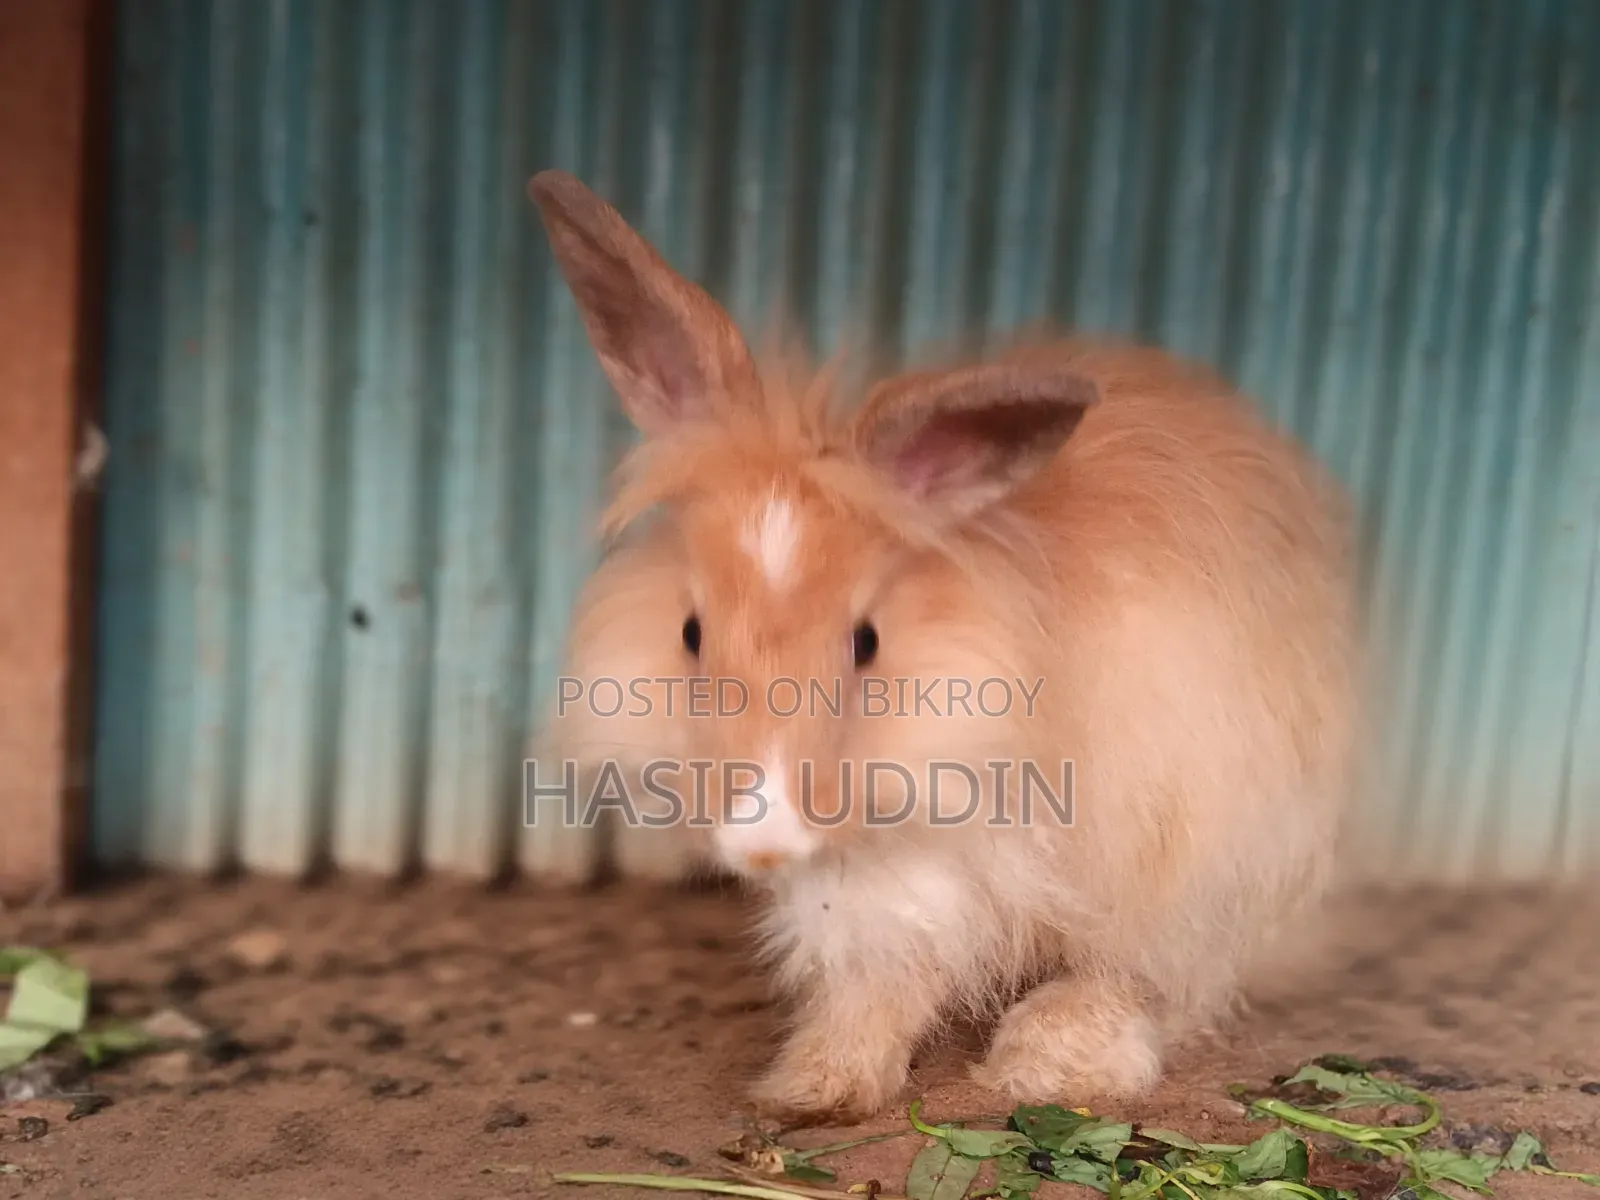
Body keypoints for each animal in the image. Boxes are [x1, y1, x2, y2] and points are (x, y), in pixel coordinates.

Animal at [524, 168, 1362, 1124]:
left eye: (867, 641)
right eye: (691, 631)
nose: (763, 841)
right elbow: (880, 979)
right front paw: (818, 1084)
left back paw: (1054, 1059)